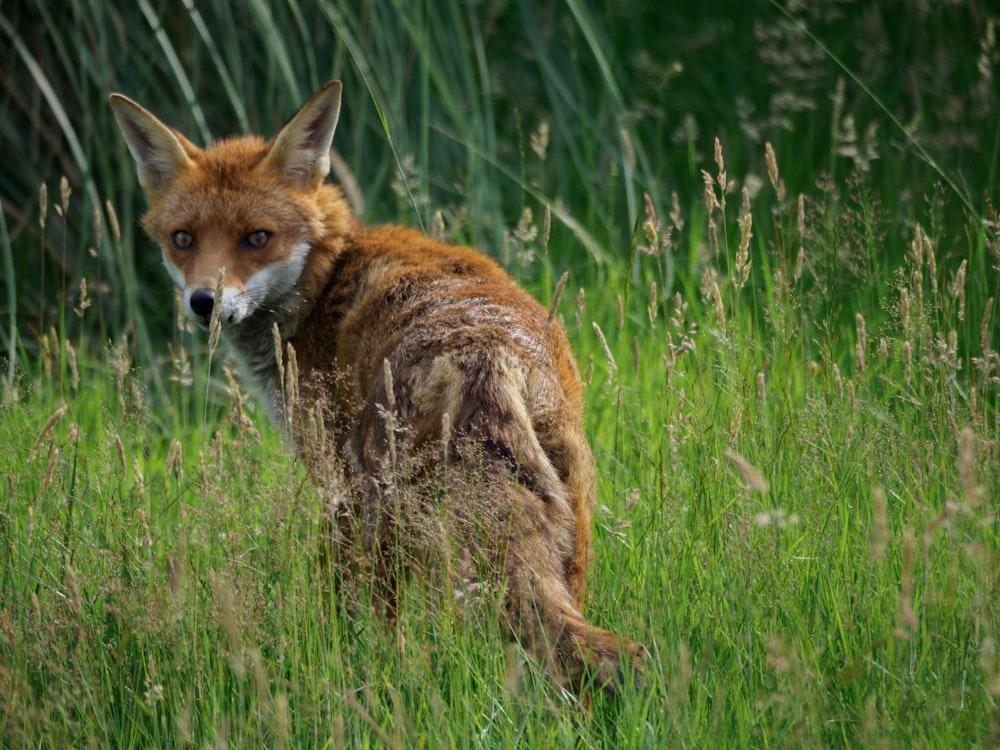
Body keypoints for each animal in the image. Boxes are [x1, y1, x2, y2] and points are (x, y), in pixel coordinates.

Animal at [107, 79, 640, 696]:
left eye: (257, 238)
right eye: (183, 239)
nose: (205, 303)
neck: (324, 279)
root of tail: (485, 351)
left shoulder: (333, 486)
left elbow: (343, 600)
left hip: (388, 506)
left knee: (395, 622)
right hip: (569, 516)